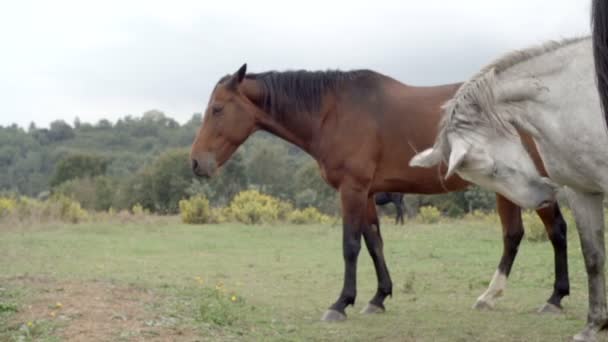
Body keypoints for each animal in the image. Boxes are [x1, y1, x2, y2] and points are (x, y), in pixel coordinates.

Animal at [190, 63, 568, 320]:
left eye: (218, 109)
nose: (196, 163)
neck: (333, 112)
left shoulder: (352, 190)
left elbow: (351, 245)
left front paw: (340, 303)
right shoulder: (368, 193)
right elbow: (374, 242)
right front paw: (378, 298)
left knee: (556, 231)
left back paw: (554, 299)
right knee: (514, 235)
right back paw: (490, 296)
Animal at [408, 35, 604, 342]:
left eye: (494, 170)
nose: (542, 199)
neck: (572, 97)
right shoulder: (582, 191)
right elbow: (593, 257)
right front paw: (594, 324)